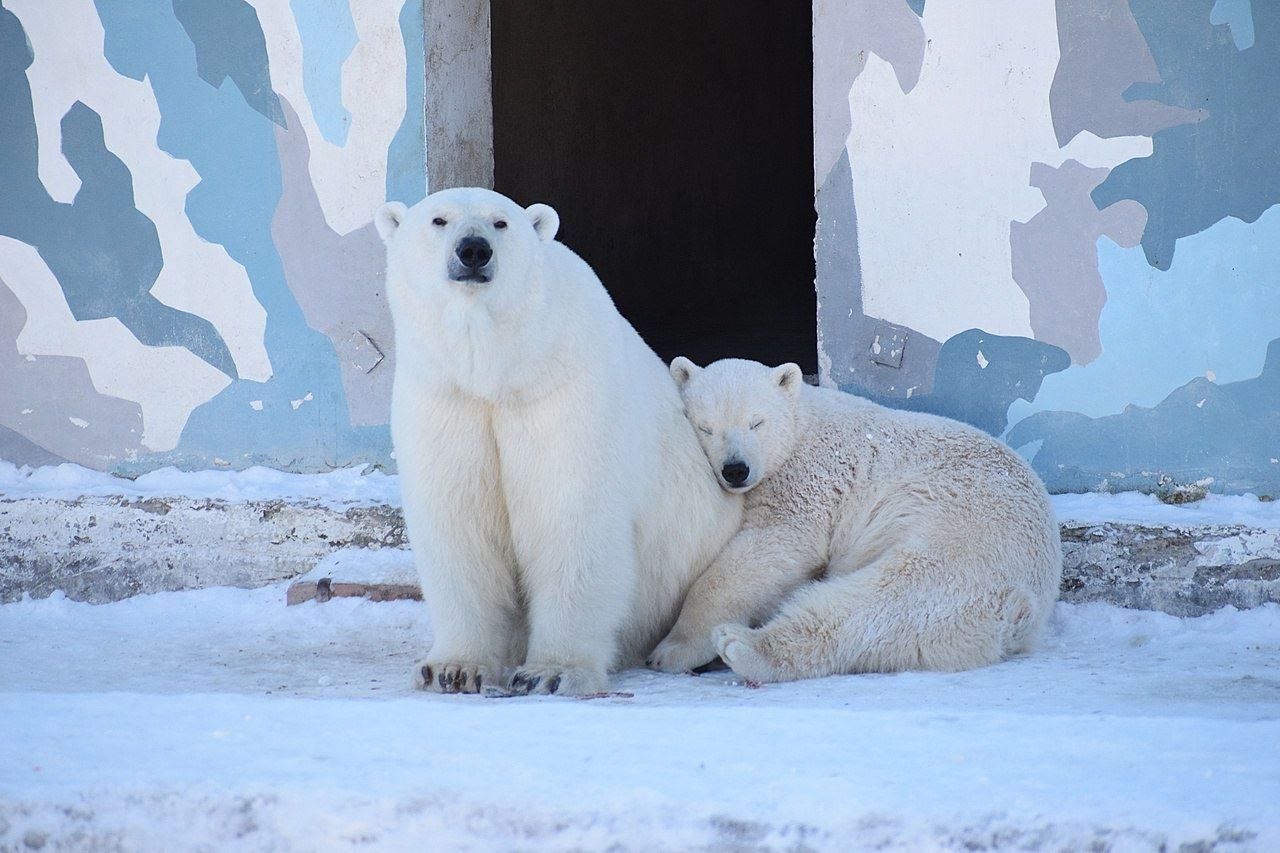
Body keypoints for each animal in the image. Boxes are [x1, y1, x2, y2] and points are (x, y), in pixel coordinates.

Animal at [373, 189, 742, 696]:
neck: (502, 368)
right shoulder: (448, 397)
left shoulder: (561, 390)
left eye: (501, 222)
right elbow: (460, 522)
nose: (473, 251)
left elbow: (569, 517)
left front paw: (551, 672)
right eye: (438, 219)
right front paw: (452, 669)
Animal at [650, 356, 1059, 681]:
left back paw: (743, 645)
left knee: (885, 602)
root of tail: (1027, 614)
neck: (802, 420)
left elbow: (772, 548)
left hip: (967, 542)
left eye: (757, 423)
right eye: (705, 427)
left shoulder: (810, 481)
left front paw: (672, 649)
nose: (736, 470)